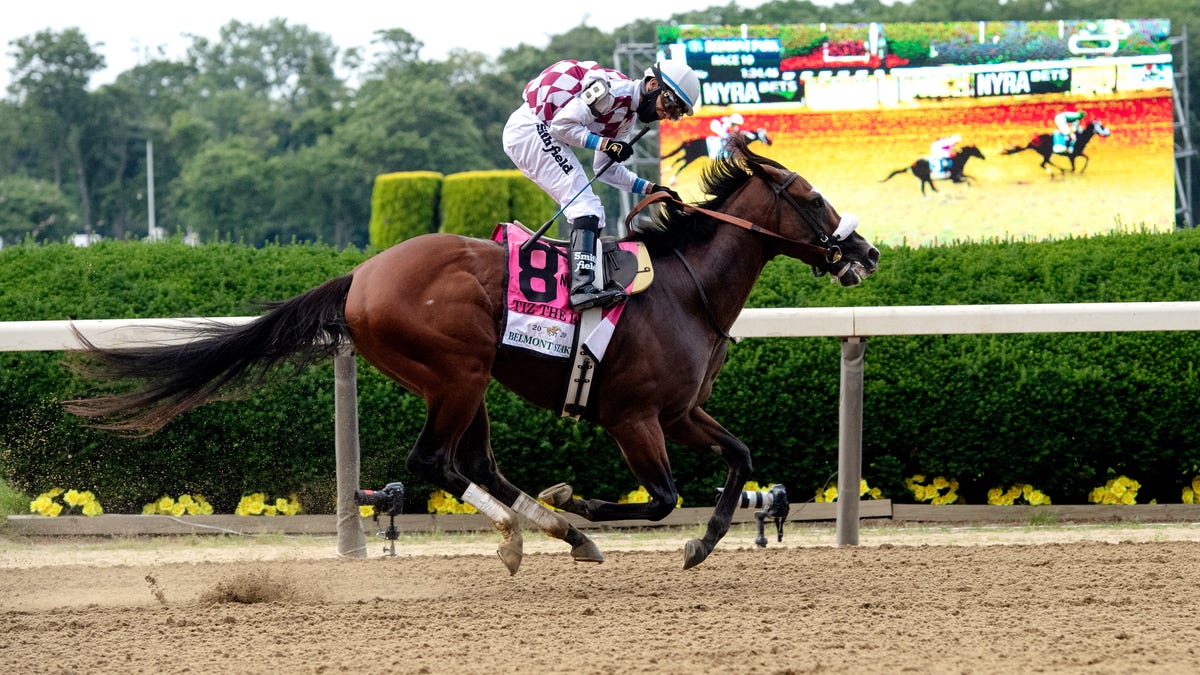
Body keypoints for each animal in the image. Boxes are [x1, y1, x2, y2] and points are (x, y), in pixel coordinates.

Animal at [65, 135, 883, 571]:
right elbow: (660, 497)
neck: (685, 289)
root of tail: (361, 275)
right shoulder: (634, 417)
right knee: (436, 461)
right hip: (455, 370)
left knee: (473, 463)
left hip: (473, 378)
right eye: (812, 196)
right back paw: (545, 527)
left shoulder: (681, 411)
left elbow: (738, 457)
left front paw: (703, 544)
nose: (866, 252)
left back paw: (549, 530)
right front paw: (580, 498)